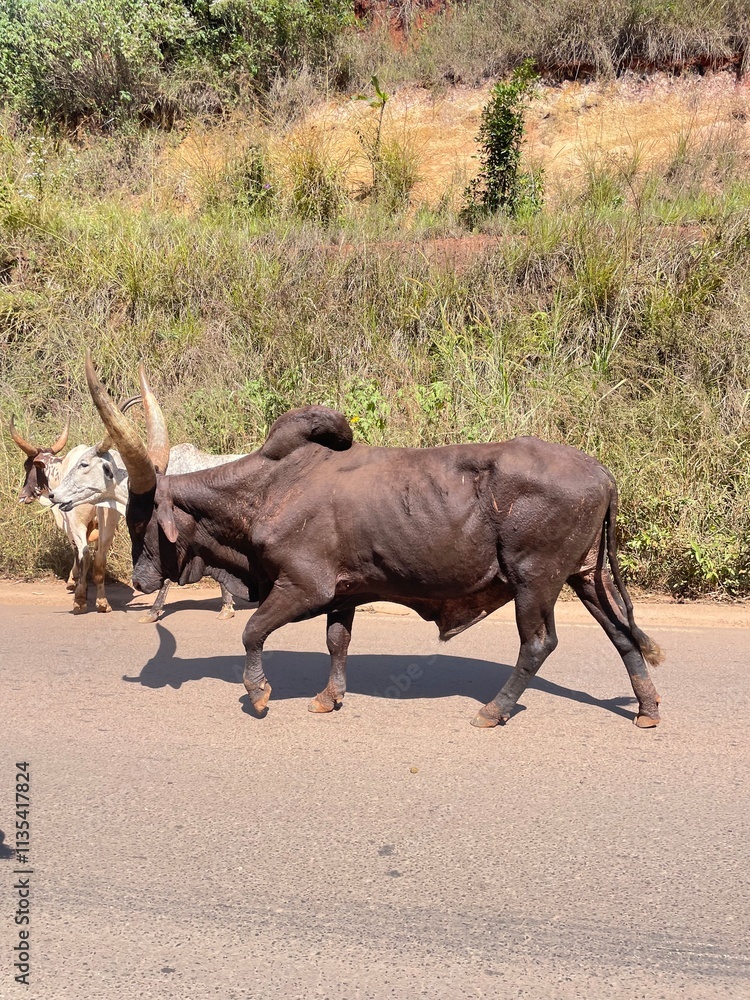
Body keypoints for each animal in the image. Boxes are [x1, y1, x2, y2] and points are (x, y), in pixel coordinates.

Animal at [85, 354, 668, 736]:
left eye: (140, 520)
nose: (140, 580)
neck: (269, 487)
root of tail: (602, 473)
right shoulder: (343, 593)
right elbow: (337, 643)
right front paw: (328, 697)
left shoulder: (304, 586)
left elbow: (252, 632)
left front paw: (258, 693)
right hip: (585, 576)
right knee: (623, 635)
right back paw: (647, 709)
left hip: (535, 580)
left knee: (539, 644)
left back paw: (493, 710)